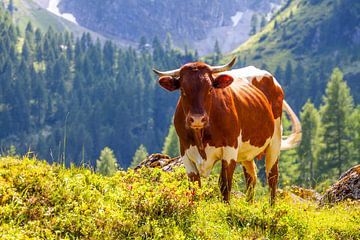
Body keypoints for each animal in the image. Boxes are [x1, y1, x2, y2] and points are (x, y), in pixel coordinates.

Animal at [152, 56, 300, 204]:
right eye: (182, 90)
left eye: (210, 89)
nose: (197, 119)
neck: (200, 137)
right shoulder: (185, 152)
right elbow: (195, 186)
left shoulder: (230, 149)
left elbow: (224, 184)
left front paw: (226, 207)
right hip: (247, 152)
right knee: (251, 177)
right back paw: (248, 205)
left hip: (275, 141)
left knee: (272, 176)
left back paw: (271, 206)